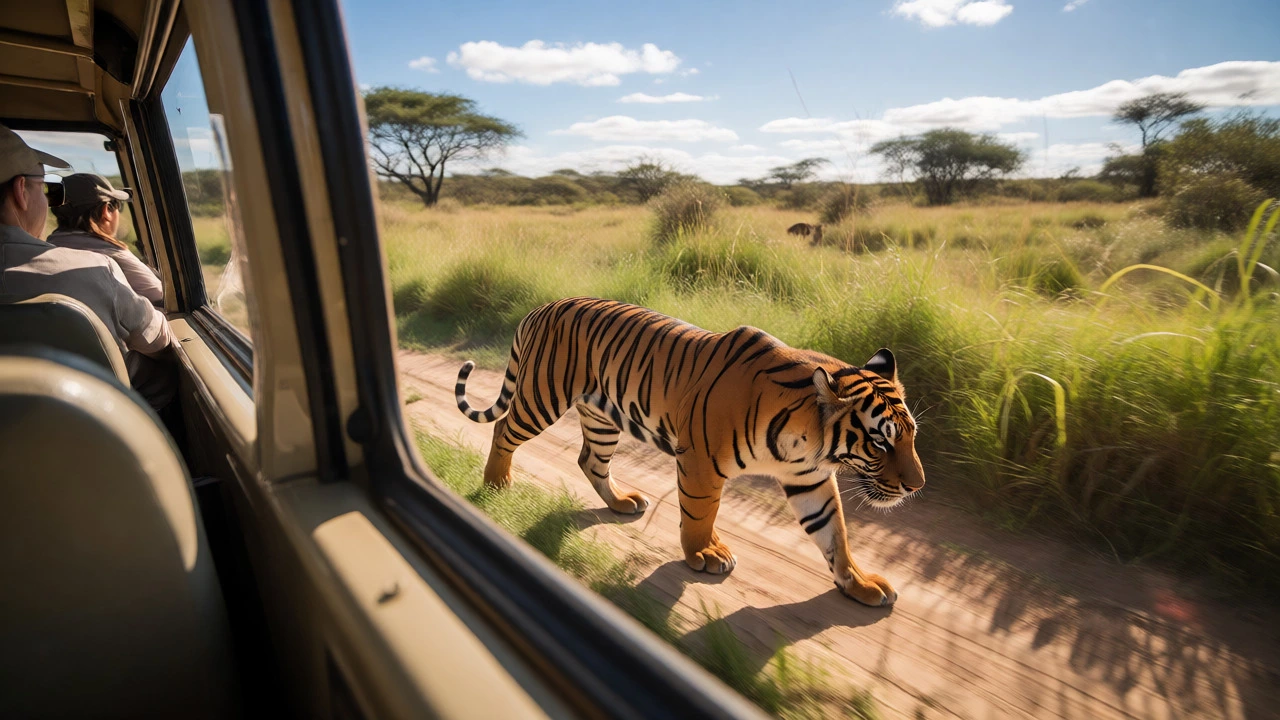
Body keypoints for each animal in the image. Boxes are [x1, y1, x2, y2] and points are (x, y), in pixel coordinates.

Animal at [454, 297, 925, 607]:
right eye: (880, 441)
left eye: (911, 436)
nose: (916, 486)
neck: (807, 440)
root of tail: (541, 308)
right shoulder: (701, 461)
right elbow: (701, 512)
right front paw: (704, 554)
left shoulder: (808, 479)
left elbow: (834, 533)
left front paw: (859, 584)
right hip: (542, 398)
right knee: (503, 428)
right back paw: (496, 484)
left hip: (602, 419)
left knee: (590, 460)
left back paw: (621, 502)